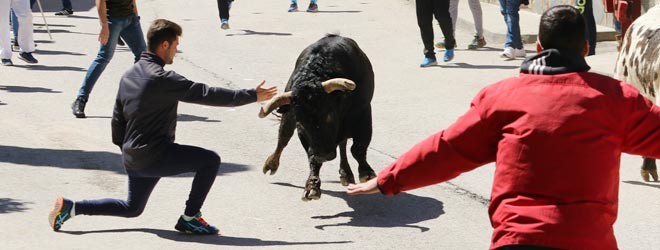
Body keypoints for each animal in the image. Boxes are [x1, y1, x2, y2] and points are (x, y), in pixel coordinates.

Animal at [260, 34, 376, 200]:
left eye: (328, 116)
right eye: (301, 123)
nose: (323, 155)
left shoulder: (363, 114)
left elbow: (358, 148)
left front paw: (367, 174)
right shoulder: (303, 132)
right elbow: (311, 157)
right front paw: (312, 186)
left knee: (343, 144)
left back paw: (346, 173)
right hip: (288, 117)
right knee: (283, 137)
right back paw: (271, 165)